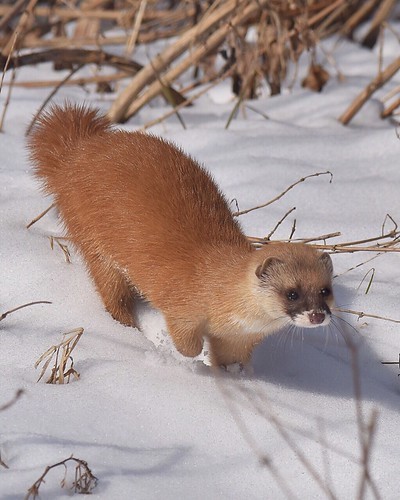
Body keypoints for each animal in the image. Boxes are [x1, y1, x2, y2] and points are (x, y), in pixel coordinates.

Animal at [28, 102, 334, 368]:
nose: (318, 315)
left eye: (325, 290)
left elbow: (232, 357)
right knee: (111, 293)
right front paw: (193, 357)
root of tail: (81, 150)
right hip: (93, 241)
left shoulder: (239, 338)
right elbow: (186, 340)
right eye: (292, 293)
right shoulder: (182, 305)